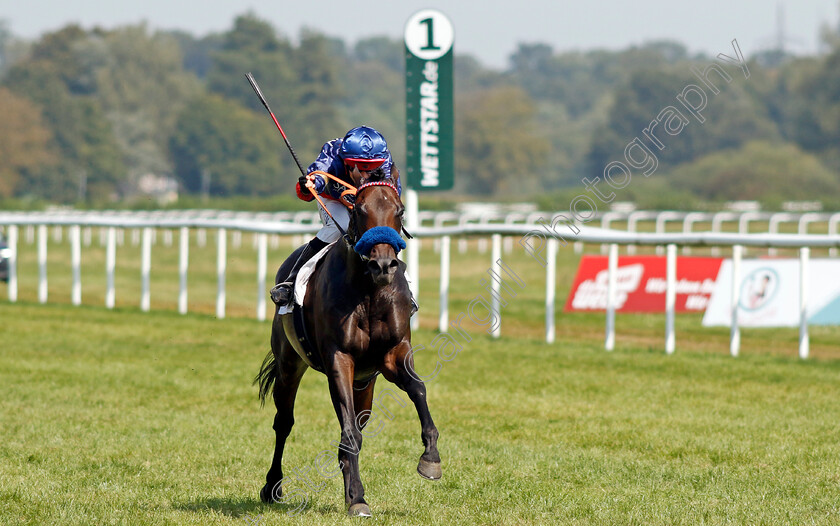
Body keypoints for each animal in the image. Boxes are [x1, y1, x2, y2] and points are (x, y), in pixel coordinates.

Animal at [254, 173, 440, 520]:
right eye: (359, 209)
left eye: (400, 210)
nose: (384, 265)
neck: (369, 291)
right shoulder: (339, 360)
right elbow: (348, 433)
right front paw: (357, 498)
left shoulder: (393, 355)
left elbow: (418, 389)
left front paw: (430, 458)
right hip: (289, 364)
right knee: (284, 423)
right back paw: (273, 486)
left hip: (365, 383)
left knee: (358, 423)